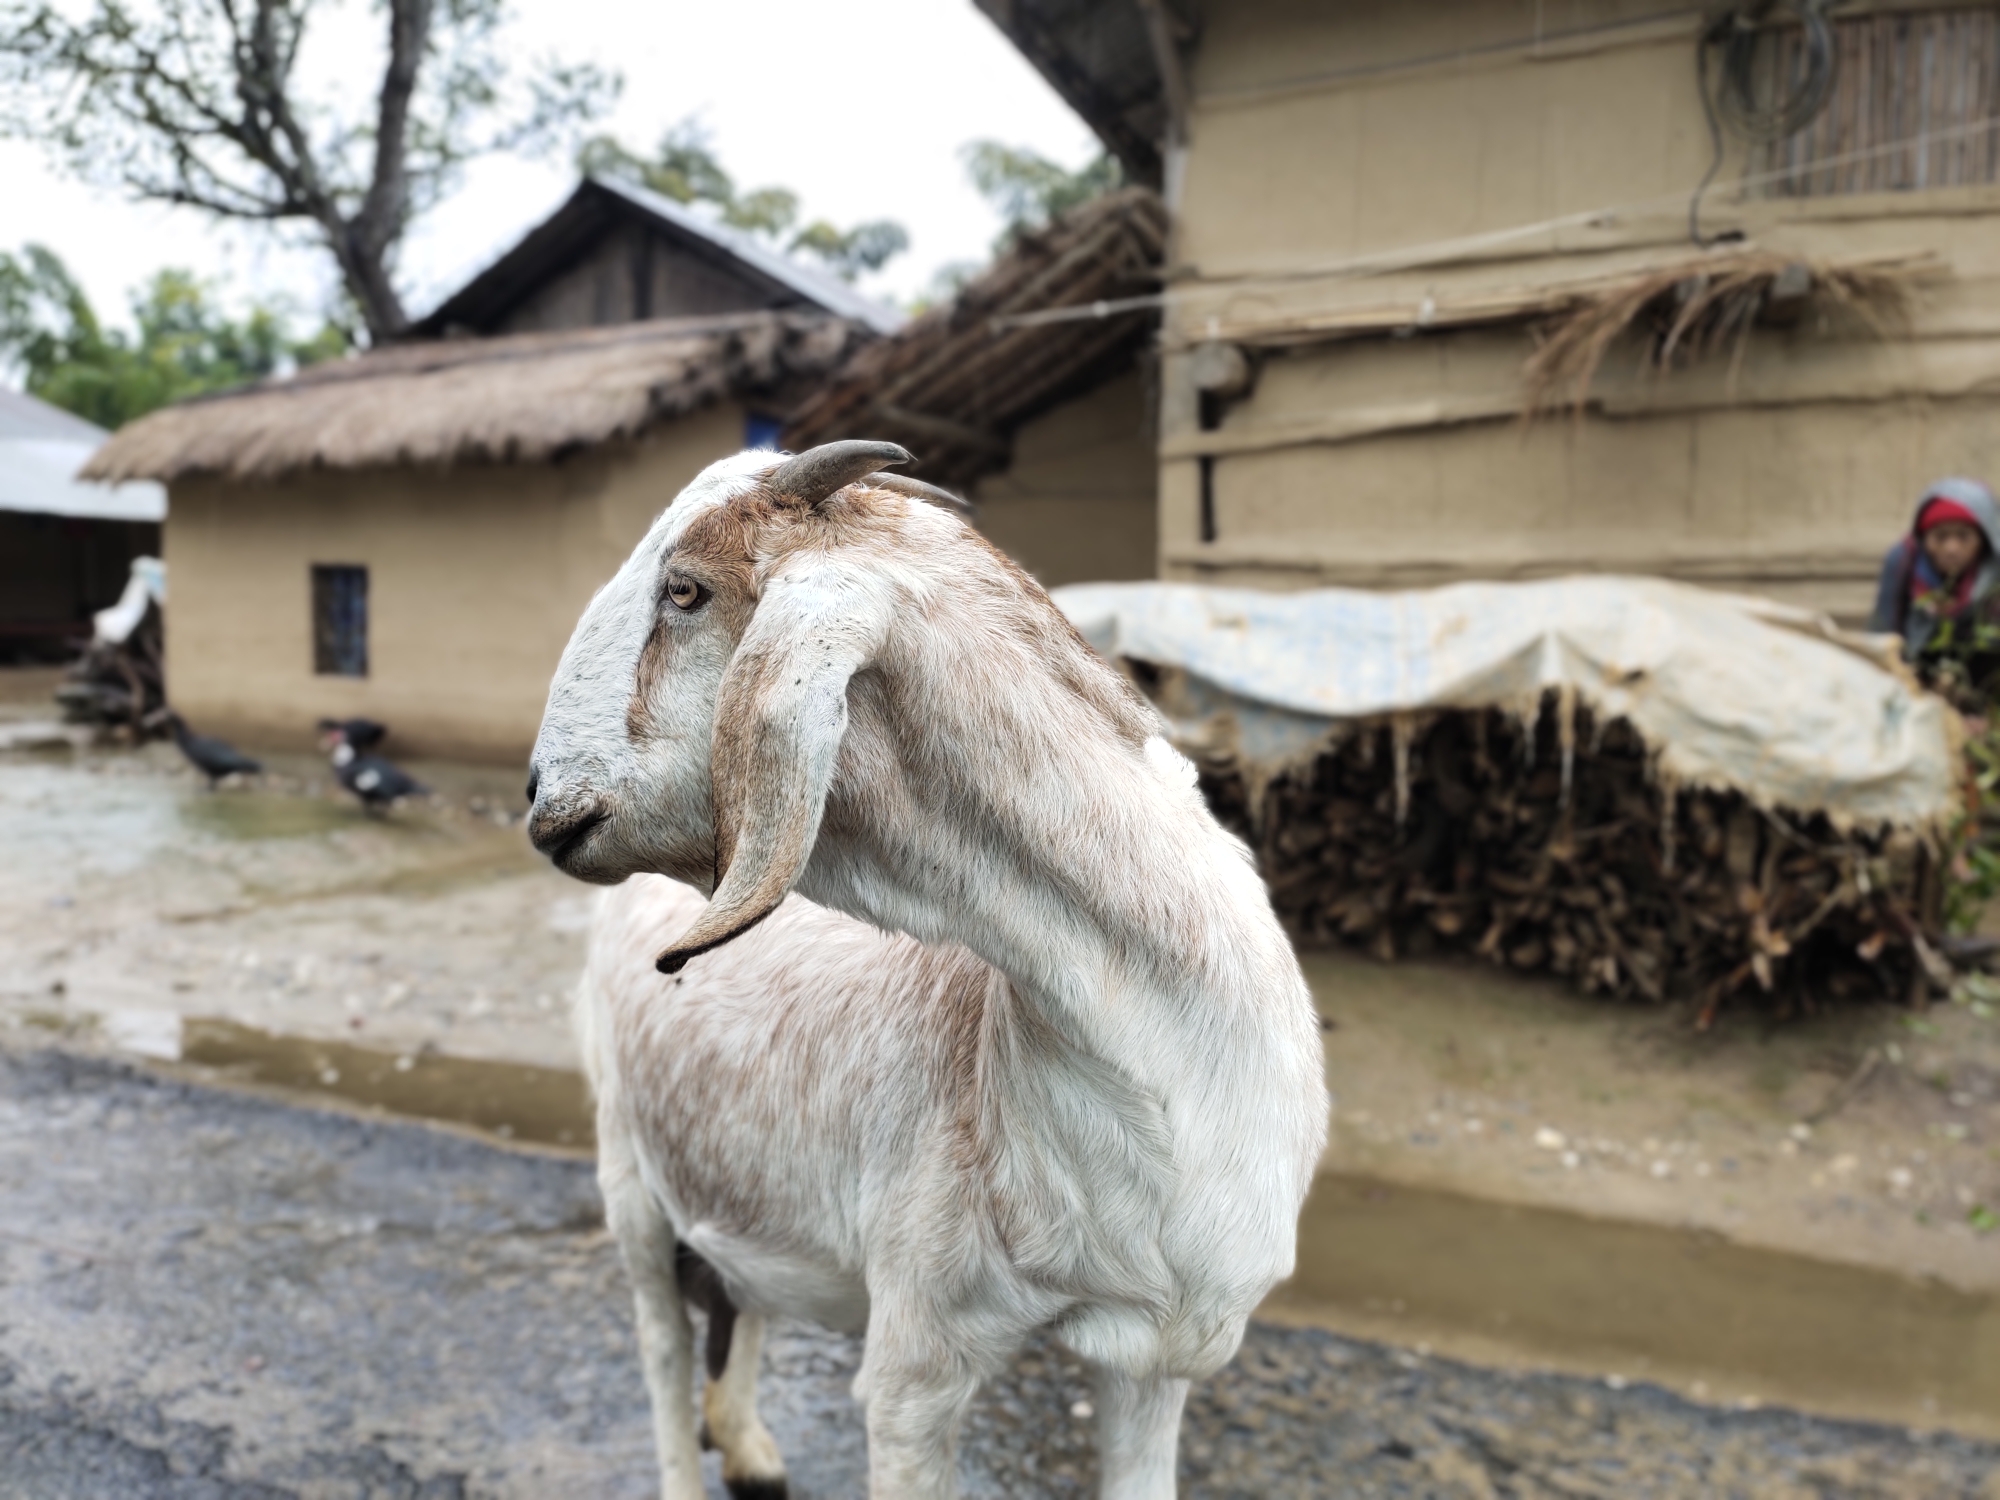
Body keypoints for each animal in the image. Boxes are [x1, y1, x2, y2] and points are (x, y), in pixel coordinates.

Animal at [524, 440, 1328, 1496]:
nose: (541, 797)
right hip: (628, 1171)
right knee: (661, 1347)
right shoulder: (919, 1363)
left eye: (686, 589)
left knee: (739, 1295)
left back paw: (749, 1447)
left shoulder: (1163, 1354)